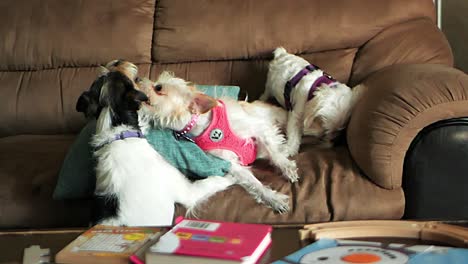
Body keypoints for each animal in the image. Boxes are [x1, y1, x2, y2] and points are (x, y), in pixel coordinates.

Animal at [135, 71, 298, 212]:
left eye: (158, 88)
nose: (137, 79)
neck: (204, 126)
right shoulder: (230, 163)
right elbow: (253, 182)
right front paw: (272, 198)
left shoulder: (258, 128)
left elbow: (275, 153)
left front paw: (287, 168)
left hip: (278, 116)